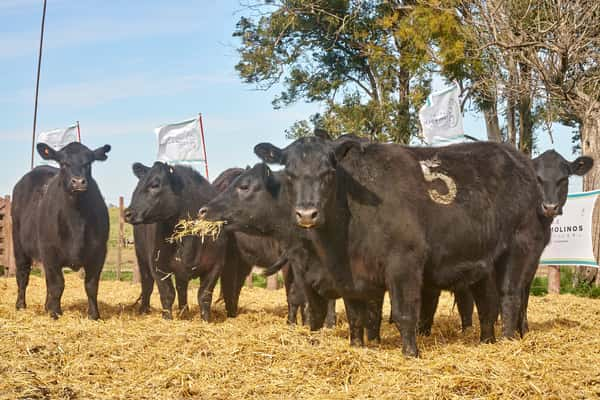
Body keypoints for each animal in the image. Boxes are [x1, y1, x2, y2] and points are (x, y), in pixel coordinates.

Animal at [13, 142, 111, 320]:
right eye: (64, 163)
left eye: (88, 163)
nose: (78, 182)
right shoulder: (49, 250)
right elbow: (57, 284)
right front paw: (55, 313)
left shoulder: (99, 252)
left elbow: (91, 285)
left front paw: (94, 315)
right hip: (19, 244)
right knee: (22, 275)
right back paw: (21, 305)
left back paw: (46, 306)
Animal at [125, 161, 231, 320]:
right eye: (137, 185)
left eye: (155, 184)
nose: (127, 213)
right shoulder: (157, 265)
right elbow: (167, 294)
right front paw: (167, 318)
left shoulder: (216, 265)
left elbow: (204, 296)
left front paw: (206, 320)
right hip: (142, 258)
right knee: (147, 284)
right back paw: (144, 310)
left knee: (182, 287)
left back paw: (184, 311)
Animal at [253, 138, 548, 356]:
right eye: (289, 175)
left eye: (328, 173)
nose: (306, 214)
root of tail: (518, 158)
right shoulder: (349, 276)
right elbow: (355, 315)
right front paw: (357, 347)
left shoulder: (404, 261)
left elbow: (405, 313)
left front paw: (410, 353)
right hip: (482, 261)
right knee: (487, 304)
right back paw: (487, 342)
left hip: (521, 246)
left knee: (511, 296)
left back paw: (507, 341)